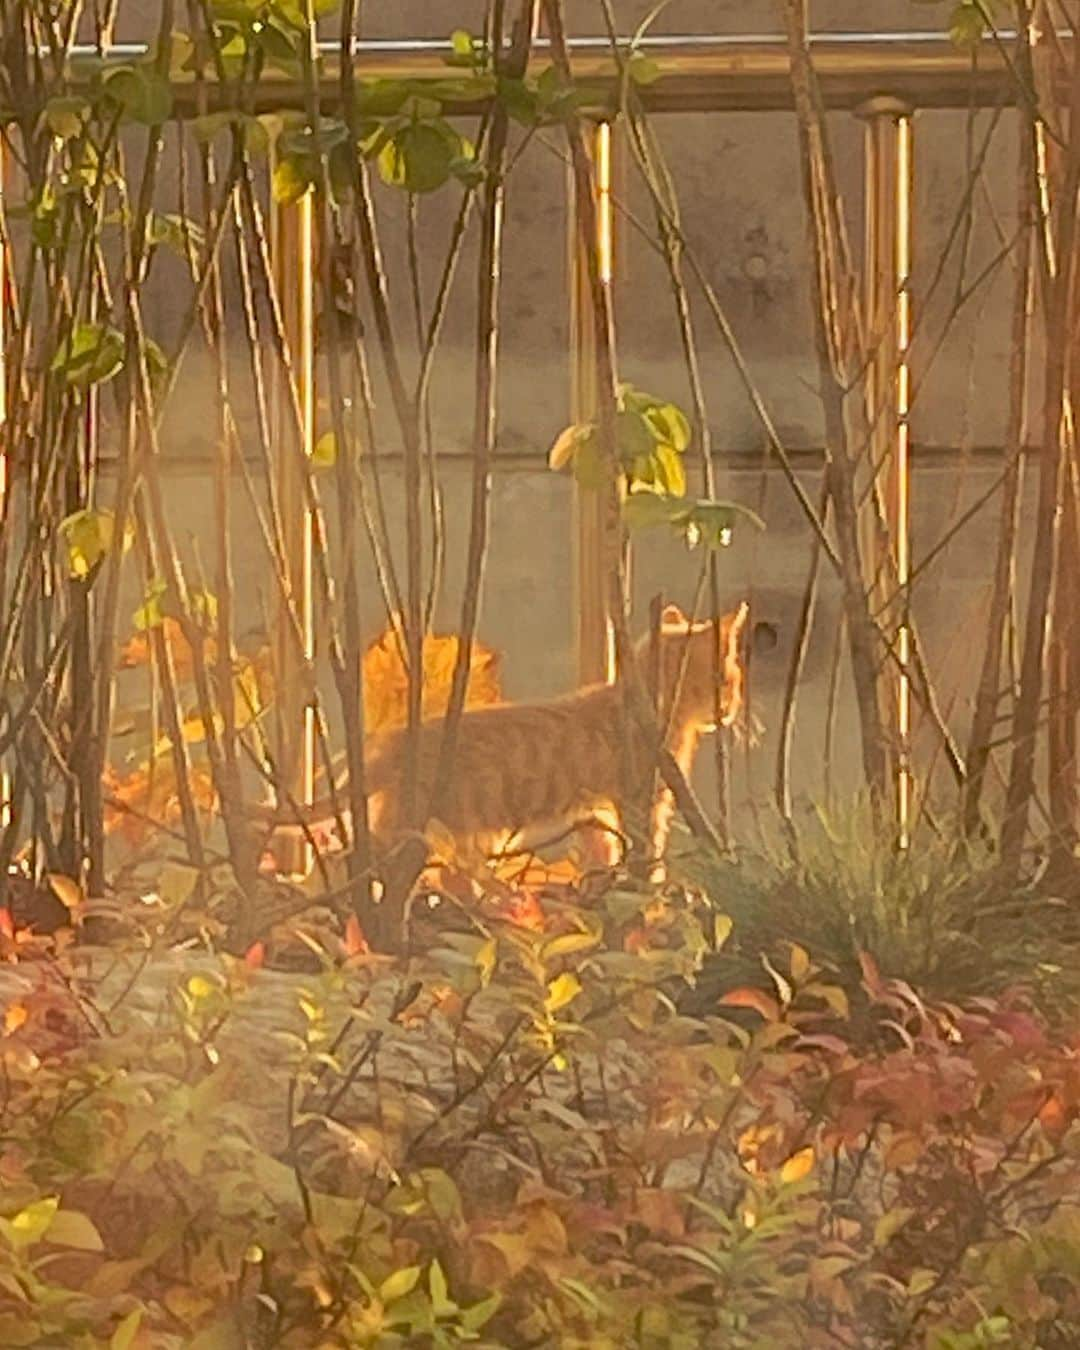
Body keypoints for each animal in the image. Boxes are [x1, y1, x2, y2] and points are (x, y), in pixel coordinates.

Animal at [263, 602, 750, 864]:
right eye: (730, 680)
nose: (732, 710)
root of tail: (390, 743)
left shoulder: (606, 809)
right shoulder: (642, 801)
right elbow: (649, 857)